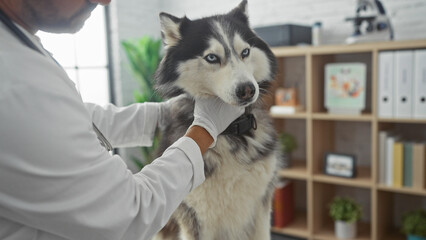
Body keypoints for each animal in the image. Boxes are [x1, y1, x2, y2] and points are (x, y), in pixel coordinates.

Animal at [153, 0, 280, 239]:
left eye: (245, 52)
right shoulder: (196, 217)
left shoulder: (260, 207)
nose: (247, 90)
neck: (228, 132)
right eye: (212, 57)